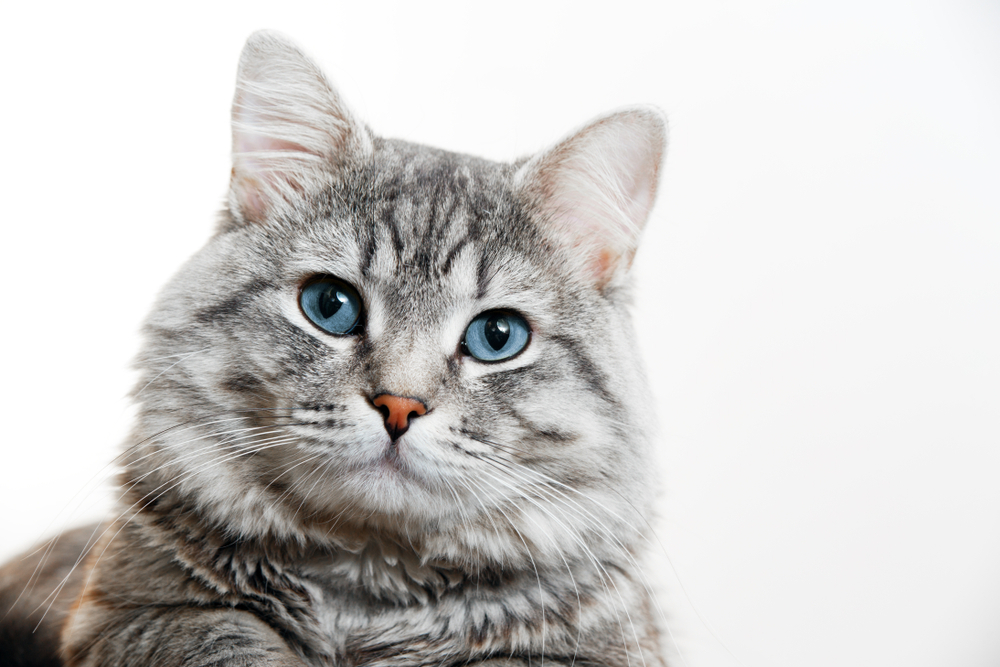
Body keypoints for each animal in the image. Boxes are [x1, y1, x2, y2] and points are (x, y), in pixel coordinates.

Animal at [1, 30, 672, 667]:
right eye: (330, 305)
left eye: (497, 336)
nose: (399, 407)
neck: (367, 590)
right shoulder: (129, 615)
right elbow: (226, 639)